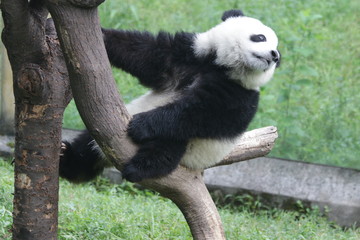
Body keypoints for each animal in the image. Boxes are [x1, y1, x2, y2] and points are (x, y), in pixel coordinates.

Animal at [59, 8, 282, 182]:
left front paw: (141, 124)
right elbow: (147, 53)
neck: (219, 66)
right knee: (86, 146)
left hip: (192, 150)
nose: (274, 56)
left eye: (278, 54)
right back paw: (66, 159)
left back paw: (141, 167)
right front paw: (101, 35)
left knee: (170, 143)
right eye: (260, 37)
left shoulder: (238, 94)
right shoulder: (186, 56)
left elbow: (200, 113)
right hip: (99, 134)